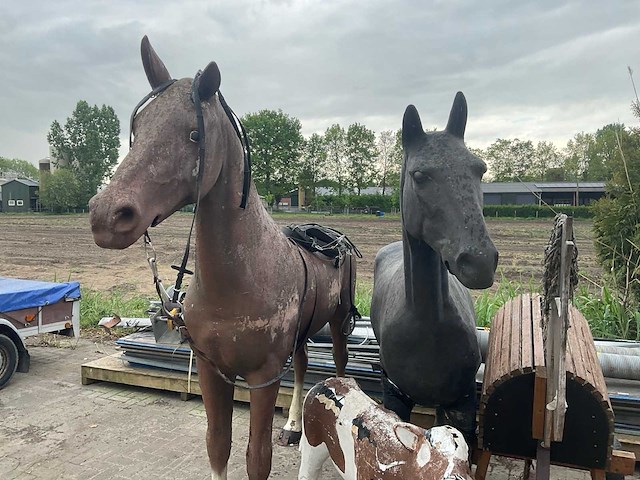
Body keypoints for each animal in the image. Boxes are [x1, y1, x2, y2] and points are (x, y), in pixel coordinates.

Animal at [89, 36, 358, 480]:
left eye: (194, 133)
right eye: (138, 130)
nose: (106, 215)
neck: (240, 281)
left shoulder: (263, 375)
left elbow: (257, 457)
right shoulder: (212, 371)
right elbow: (218, 445)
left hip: (336, 323)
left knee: (336, 366)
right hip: (303, 334)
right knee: (303, 365)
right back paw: (293, 426)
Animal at [299, 377, 473, 480]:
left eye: (467, 458)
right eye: (432, 450)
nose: (457, 478)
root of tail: (325, 382)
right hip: (312, 441)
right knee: (307, 470)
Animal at [370, 92, 498, 448]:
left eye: (480, 169)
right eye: (420, 175)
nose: (479, 260)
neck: (426, 324)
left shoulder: (460, 405)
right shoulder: (396, 400)